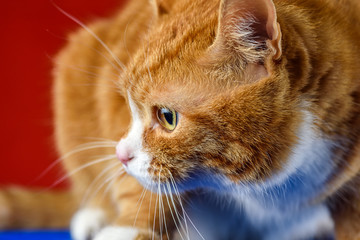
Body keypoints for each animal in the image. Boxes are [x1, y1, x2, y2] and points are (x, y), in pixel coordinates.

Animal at [0, 0, 360, 239]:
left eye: (167, 117)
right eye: (128, 106)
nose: (120, 155)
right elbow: (145, 191)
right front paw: (126, 228)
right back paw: (93, 216)